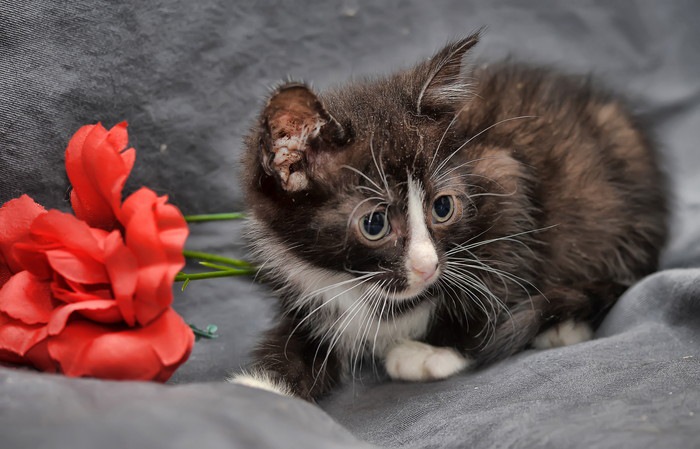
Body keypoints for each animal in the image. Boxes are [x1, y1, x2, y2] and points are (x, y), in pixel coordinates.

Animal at [228, 33, 668, 400]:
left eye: (442, 207)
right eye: (374, 224)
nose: (428, 266)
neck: (355, 283)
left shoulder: (505, 179)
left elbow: (497, 275)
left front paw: (434, 347)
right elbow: (303, 332)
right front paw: (264, 388)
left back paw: (563, 323)